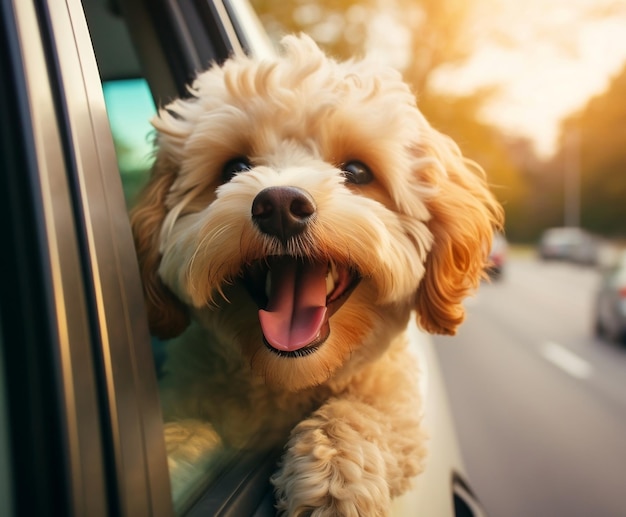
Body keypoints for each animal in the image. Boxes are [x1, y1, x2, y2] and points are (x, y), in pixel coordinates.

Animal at [130, 34, 502, 512]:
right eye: (234, 169)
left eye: (357, 171)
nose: (280, 206)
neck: (290, 378)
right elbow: (186, 433)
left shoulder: (396, 407)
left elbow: (359, 414)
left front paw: (335, 477)